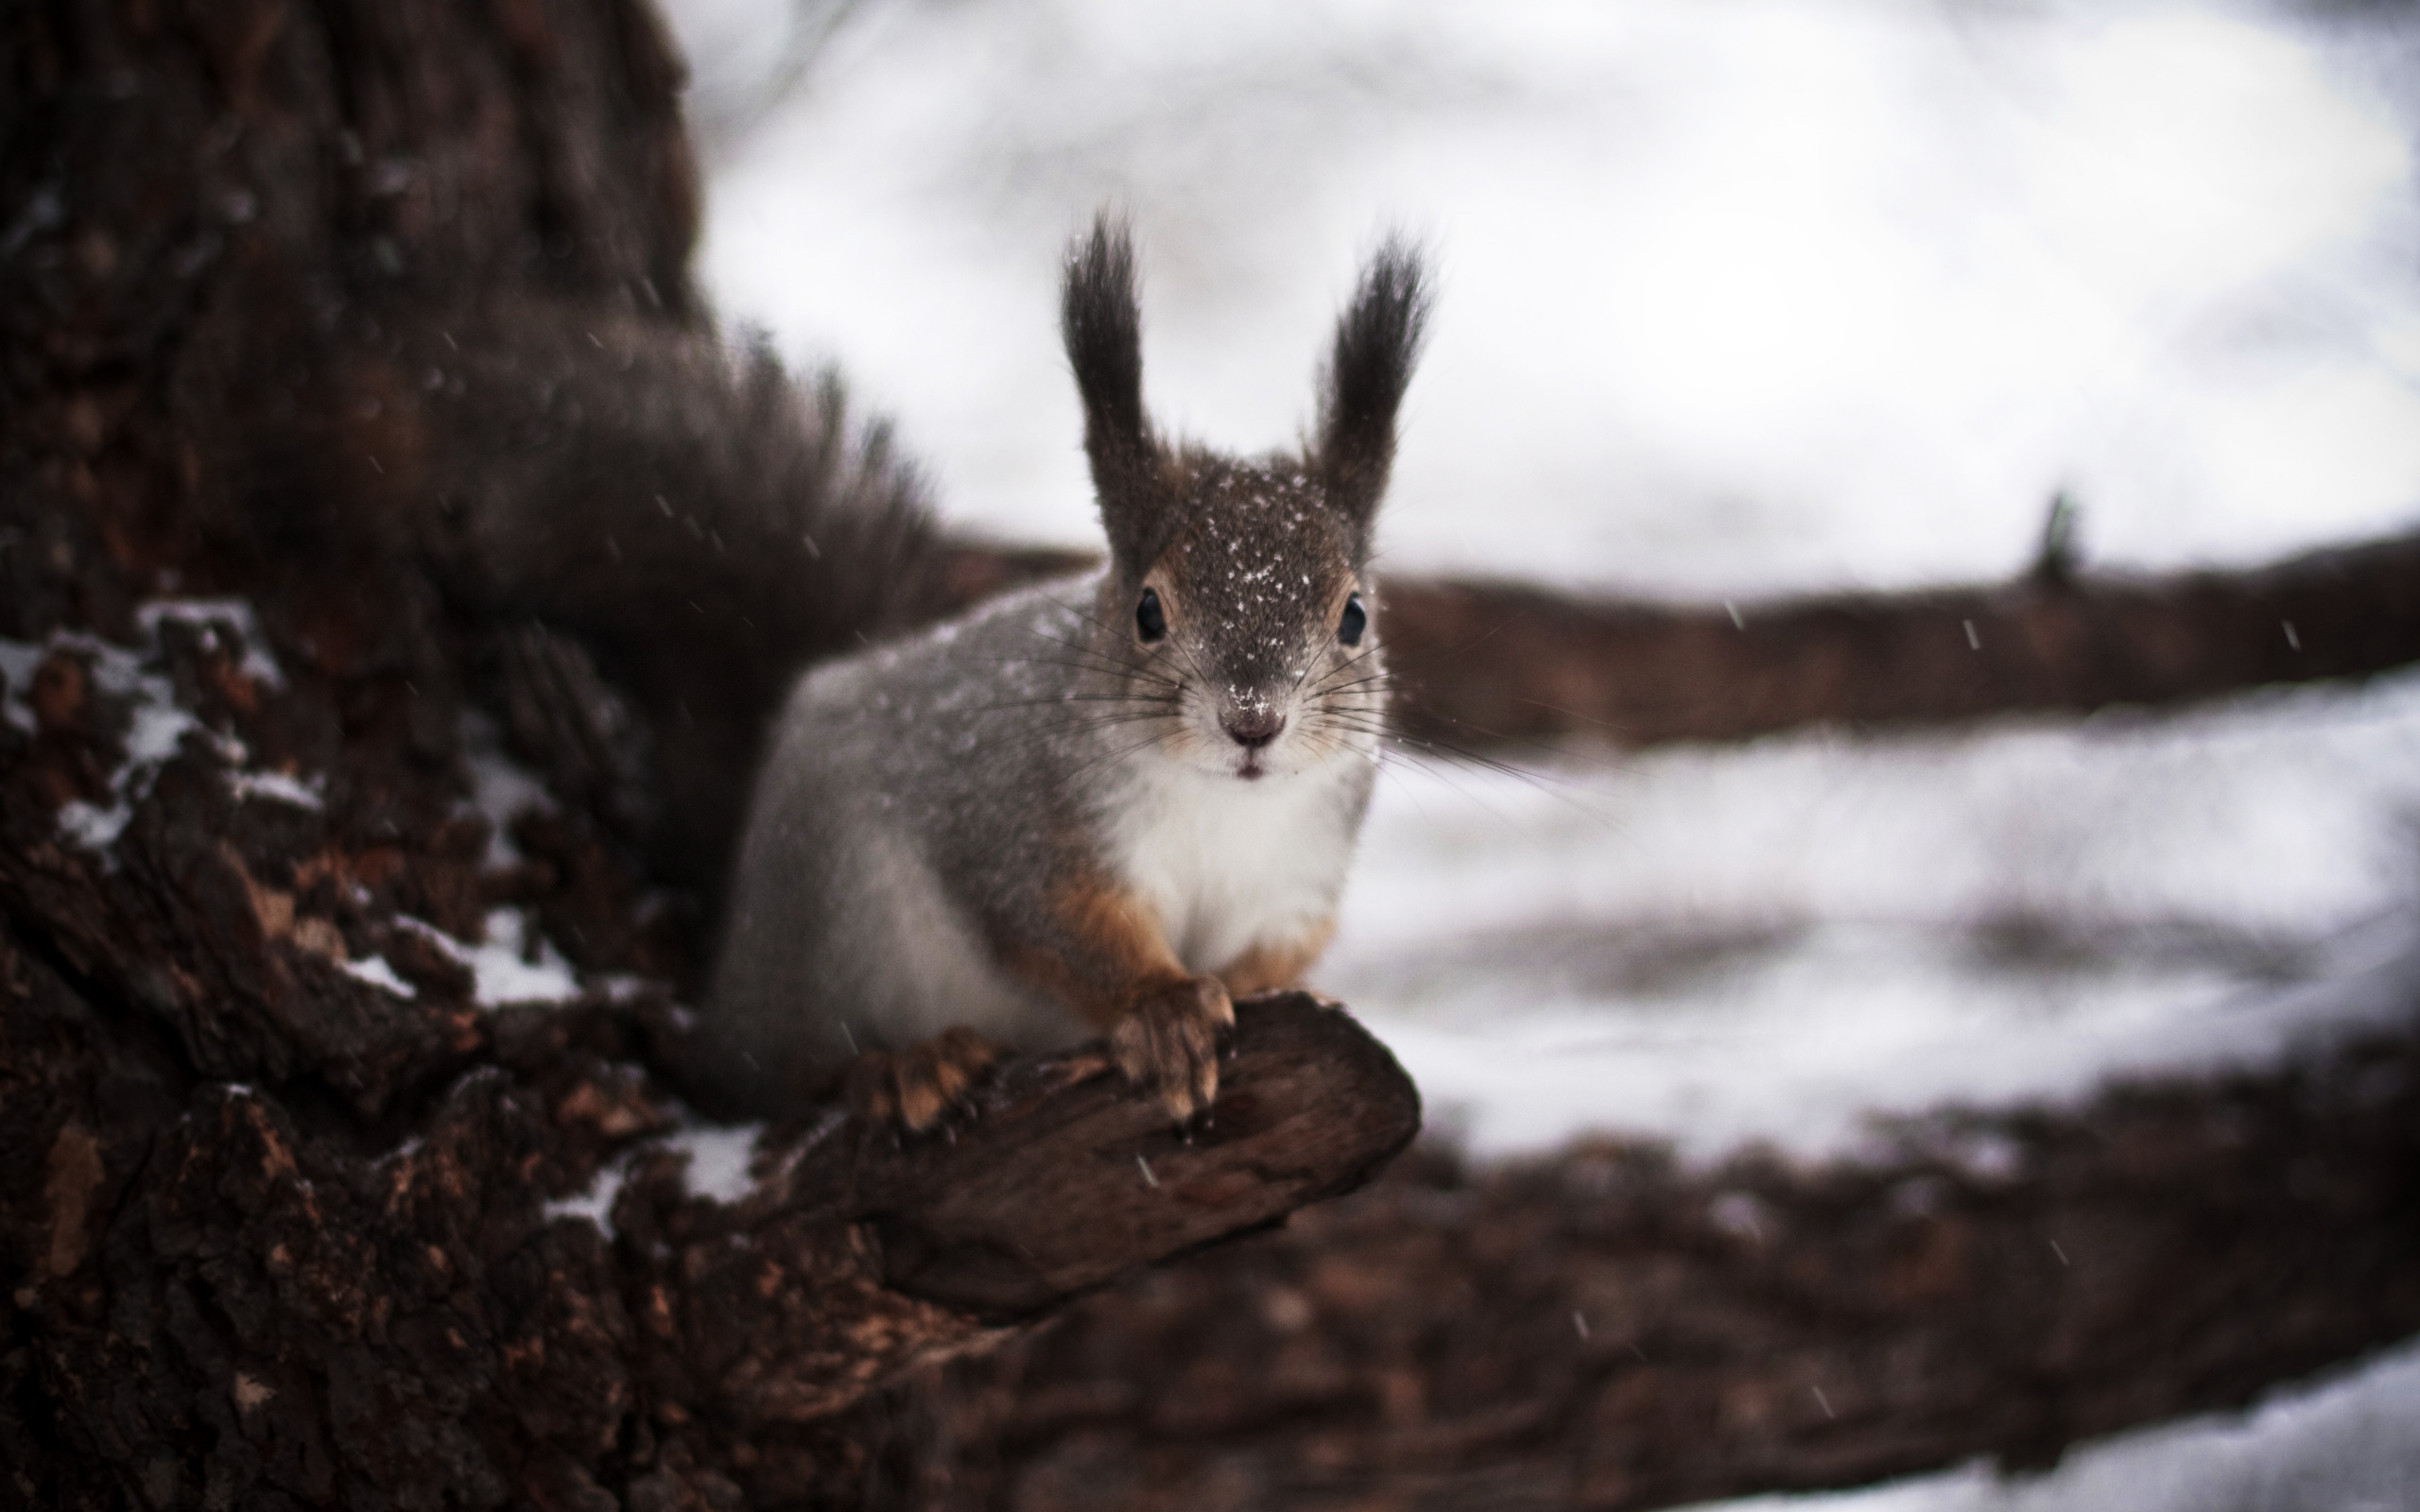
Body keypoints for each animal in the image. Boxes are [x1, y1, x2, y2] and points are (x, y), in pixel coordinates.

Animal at [692, 217, 1423, 1126]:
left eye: (1354, 615)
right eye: (1147, 612)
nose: (1253, 721)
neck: (1224, 807)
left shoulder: (1296, 888)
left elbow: (1269, 958)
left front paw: (1280, 998)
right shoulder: (1024, 829)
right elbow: (1062, 930)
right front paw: (1165, 1010)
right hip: (827, 913)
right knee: (781, 1073)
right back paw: (902, 1065)